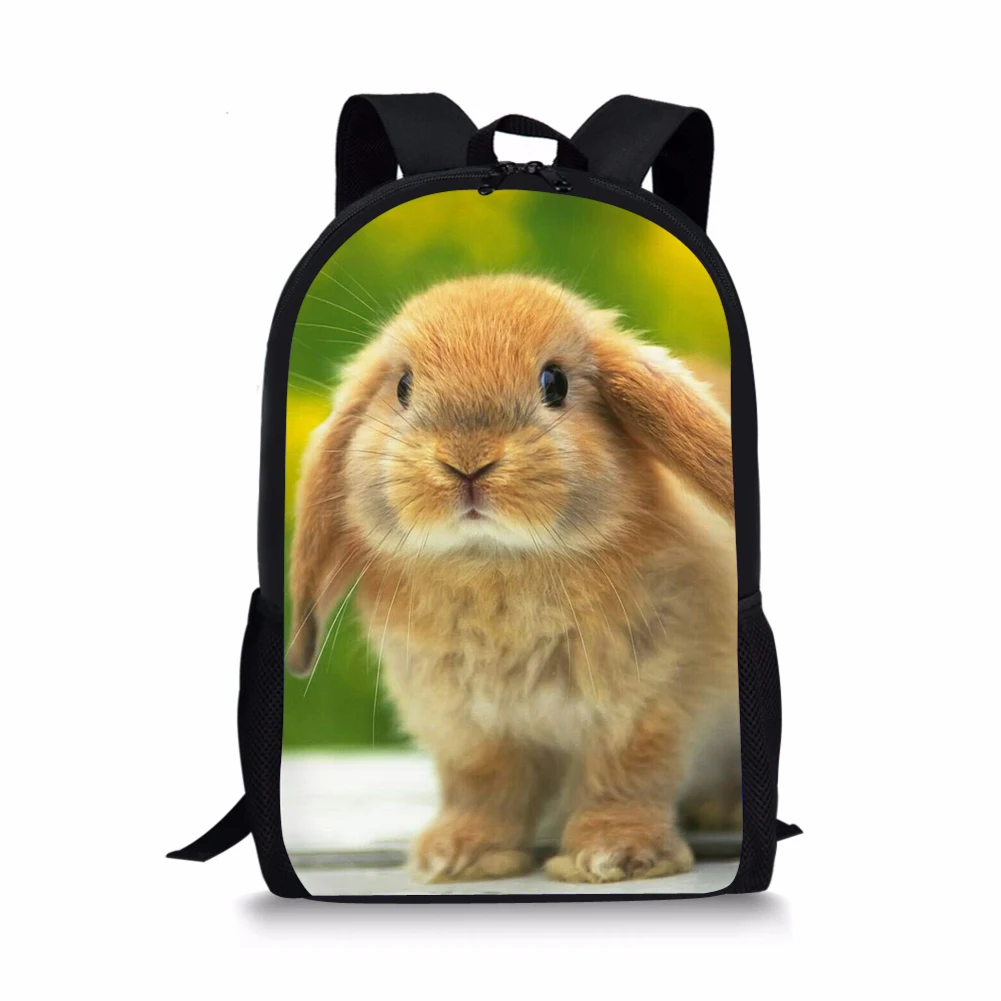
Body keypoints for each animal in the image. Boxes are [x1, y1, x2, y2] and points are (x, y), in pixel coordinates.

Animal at [286, 273, 738, 884]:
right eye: (403, 386)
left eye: (555, 382)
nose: (467, 461)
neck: (494, 563)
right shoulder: (466, 729)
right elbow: (484, 787)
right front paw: (457, 856)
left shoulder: (650, 705)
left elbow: (626, 778)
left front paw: (613, 856)